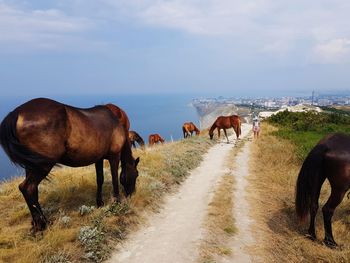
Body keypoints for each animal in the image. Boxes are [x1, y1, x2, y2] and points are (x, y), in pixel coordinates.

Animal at [0, 98, 139, 232]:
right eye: (136, 174)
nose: (131, 194)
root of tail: (17, 113)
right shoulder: (114, 155)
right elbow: (115, 178)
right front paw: (117, 202)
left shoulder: (98, 159)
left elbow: (100, 179)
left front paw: (100, 203)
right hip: (43, 165)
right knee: (27, 188)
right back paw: (43, 224)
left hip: (33, 165)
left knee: (32, 190)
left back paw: (37, 224)